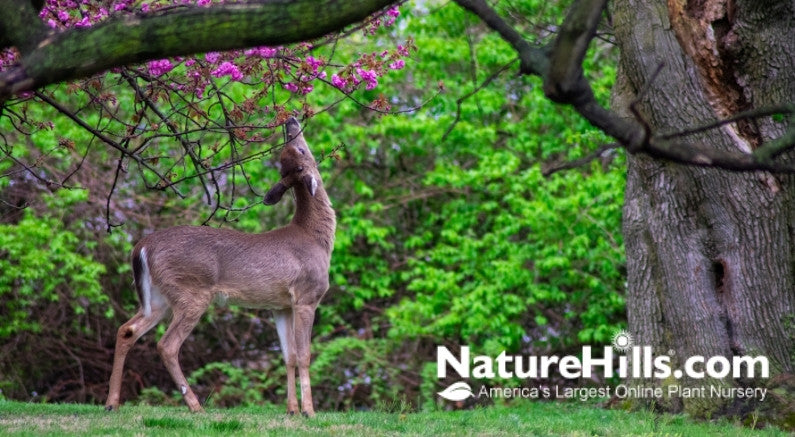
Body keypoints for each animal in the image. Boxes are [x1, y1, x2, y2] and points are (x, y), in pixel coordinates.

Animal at [104, 116, 334, 416]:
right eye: (301, 150)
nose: (291, 120)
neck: (315, 238)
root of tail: (141, 247)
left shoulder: (281, 305)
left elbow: (289, 356)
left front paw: (291, 410)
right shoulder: (307, 295)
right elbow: (305, 355)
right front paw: (308, 411)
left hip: (157, 297)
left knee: (127, 330)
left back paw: (111, 403)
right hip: (191, 292)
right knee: (167, 345)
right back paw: (195, 405)